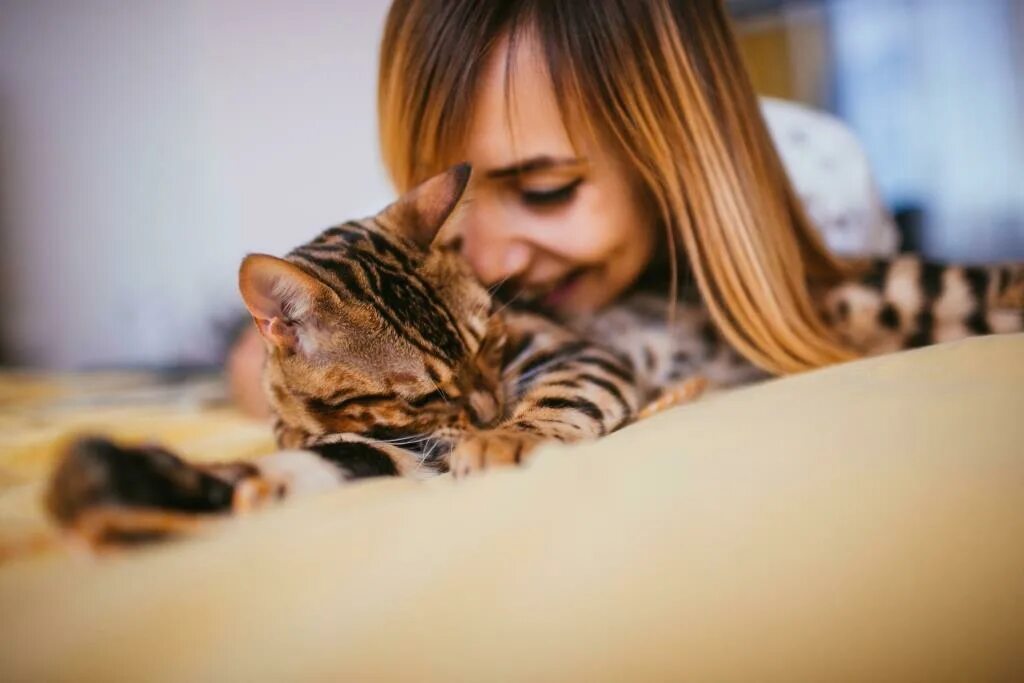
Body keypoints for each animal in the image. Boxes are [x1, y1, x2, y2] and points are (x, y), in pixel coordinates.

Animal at [46, 165, 1024, 544]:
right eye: (421, 392)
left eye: (493, 338)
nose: (484, 408)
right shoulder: (385, 450)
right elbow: (298, 470)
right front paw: (131, 486)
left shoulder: (571, 355)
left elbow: (555, 400)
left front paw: (511, 435)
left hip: (908, 291)